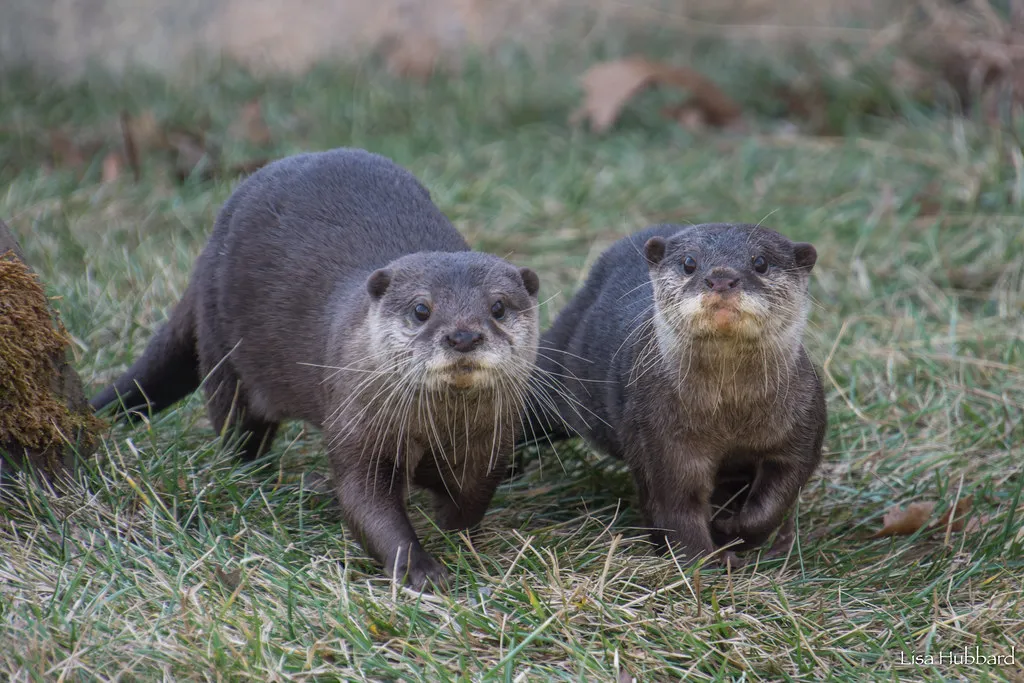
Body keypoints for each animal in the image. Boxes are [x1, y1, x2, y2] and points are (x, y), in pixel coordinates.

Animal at [90, 148, 541, 590]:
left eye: (498, 306)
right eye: (421, 309)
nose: (463, 336)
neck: (439, 430)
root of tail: (210, 246)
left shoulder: (491, 442)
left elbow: (472, 500)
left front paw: (458, 542)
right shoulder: (358, 427)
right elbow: (364, 501)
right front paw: (418, 568)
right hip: (222, 350)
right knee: (235, 425)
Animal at [526, 223, 826, 564]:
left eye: (760, 262)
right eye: (689, 262)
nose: (721, 278)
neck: (730, 417)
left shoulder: (802, 423)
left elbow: (778, 495)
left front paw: (734, 531)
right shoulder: (660, 438)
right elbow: (675, 507)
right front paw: (703, 563)